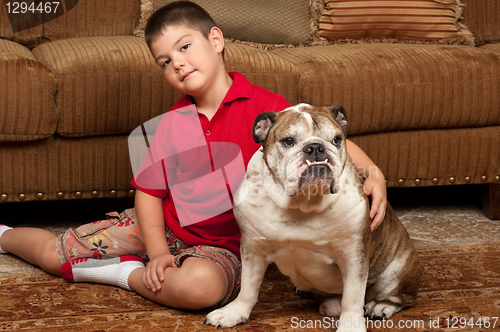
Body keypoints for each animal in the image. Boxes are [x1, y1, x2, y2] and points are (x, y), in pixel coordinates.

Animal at [205, 104, 420, 332]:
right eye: (288, 141)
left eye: (336, 139)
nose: (316, 147)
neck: (302, 203)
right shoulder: (253, 249)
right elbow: (247, 287)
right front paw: (234, 312)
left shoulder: (354, 255)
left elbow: (353, 296)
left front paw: (351, 326)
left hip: (396, 271)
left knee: (400, 297)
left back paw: (380, 306)